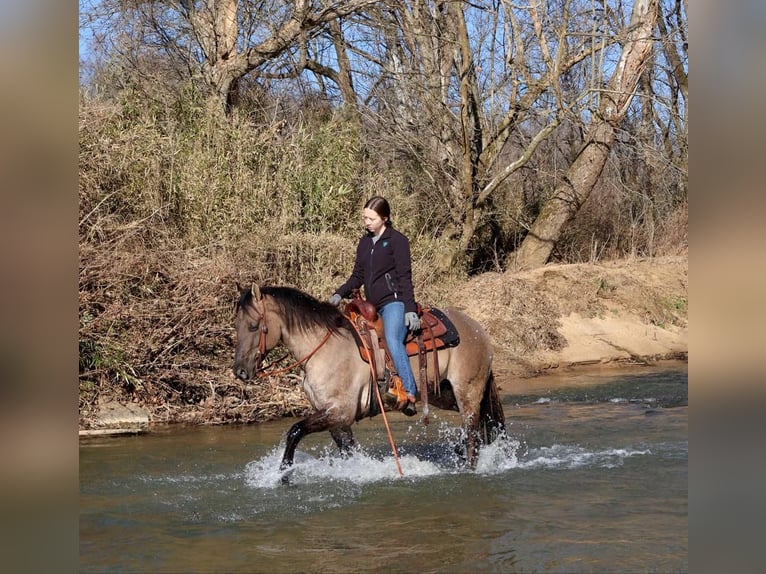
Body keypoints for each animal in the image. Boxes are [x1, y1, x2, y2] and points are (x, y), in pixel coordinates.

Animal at [236, 284, 510, 476]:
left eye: (253, 326)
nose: (239, 371)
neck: (323, 349)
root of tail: (477, 329)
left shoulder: (339, 412)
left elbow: (295, 430)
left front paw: (283, 473)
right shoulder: (334, 419)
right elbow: (347, 451)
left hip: (467, 391)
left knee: (472, 433)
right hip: (444, 393)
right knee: (481, 425)